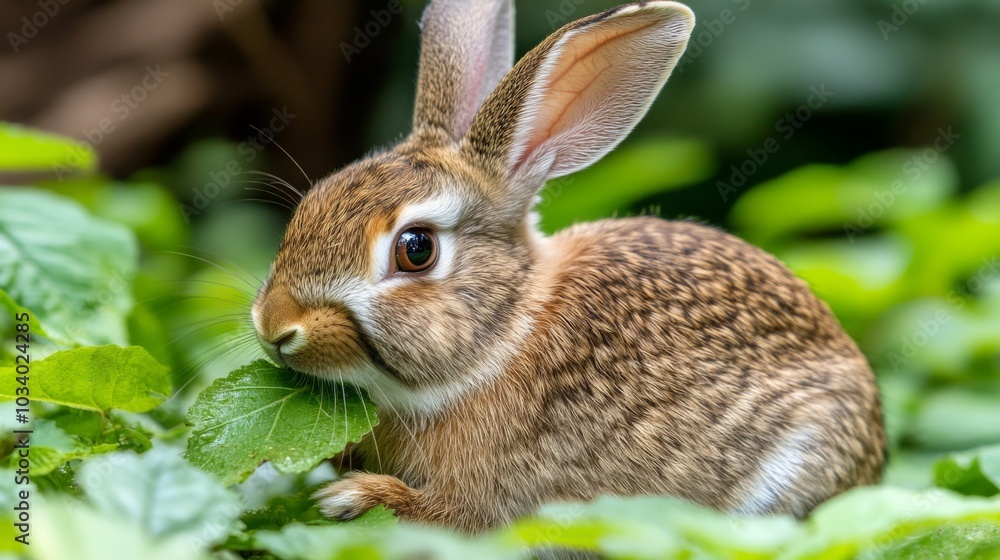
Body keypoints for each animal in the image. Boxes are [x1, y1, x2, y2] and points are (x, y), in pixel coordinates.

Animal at [251, 0, 886, 533]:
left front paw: (349, 498)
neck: (507, 336)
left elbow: (445, 515)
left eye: (416, 248)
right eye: (315, 199)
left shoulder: (487, 499)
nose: (275, 327)